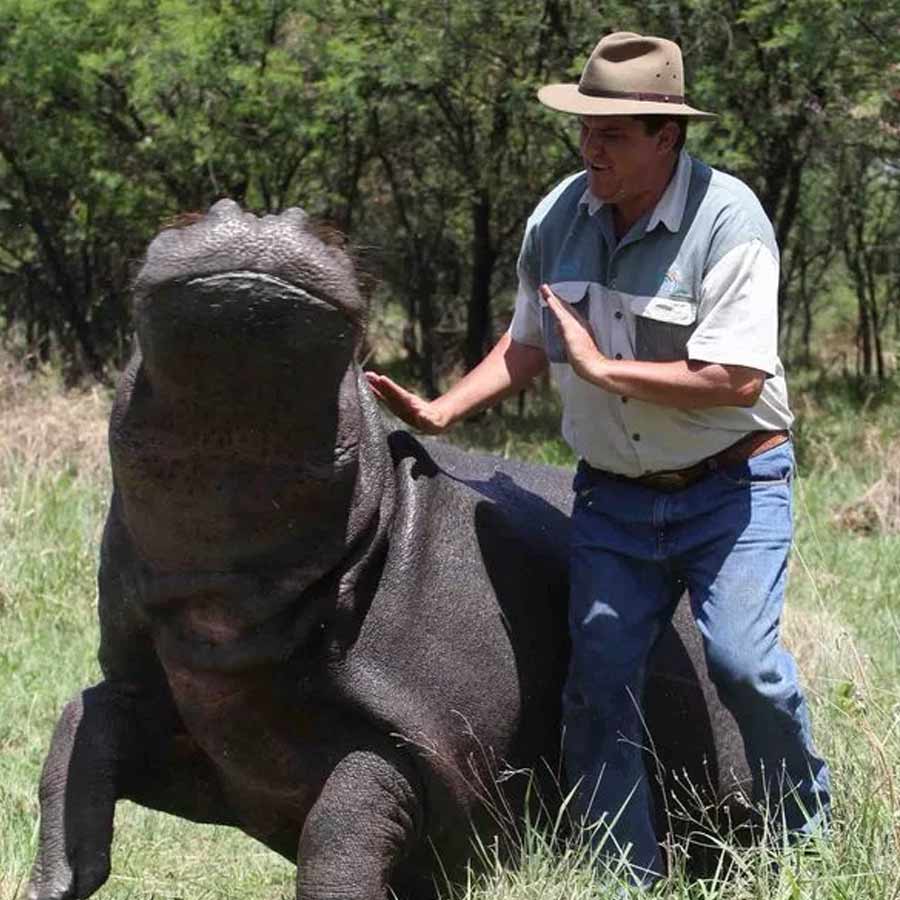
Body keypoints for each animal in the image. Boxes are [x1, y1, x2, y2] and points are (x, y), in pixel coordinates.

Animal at [27, 200, 750, 900]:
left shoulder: (418, 739)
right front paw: (53, 884)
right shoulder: (165, 696)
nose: (260, 218)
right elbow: (77, 729)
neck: (229, 601)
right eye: (179, 218)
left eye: (328, 228)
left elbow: (339, 832)